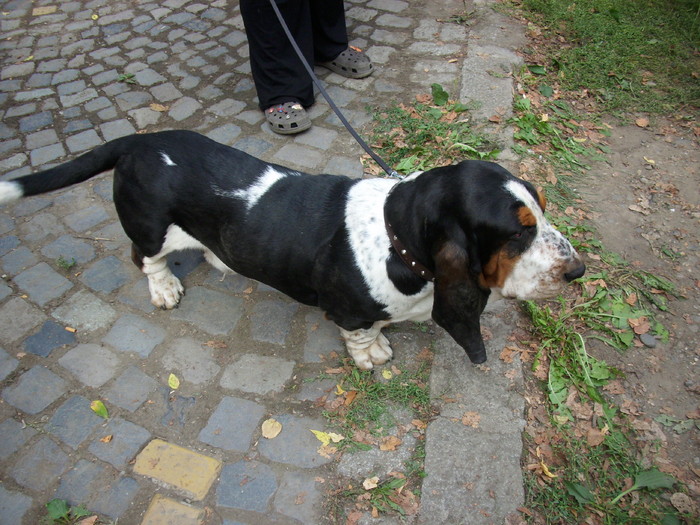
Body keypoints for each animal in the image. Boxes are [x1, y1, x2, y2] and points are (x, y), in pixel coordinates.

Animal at [0, 130, 584, 368]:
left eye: (543, 210)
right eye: (517, 233)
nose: (578, 272)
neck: (396, 239)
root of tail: (138, 142)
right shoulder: (349, 312)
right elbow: (361, 334)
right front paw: (373, 355)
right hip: (150, 230)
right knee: (145, 260)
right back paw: (164, 288)